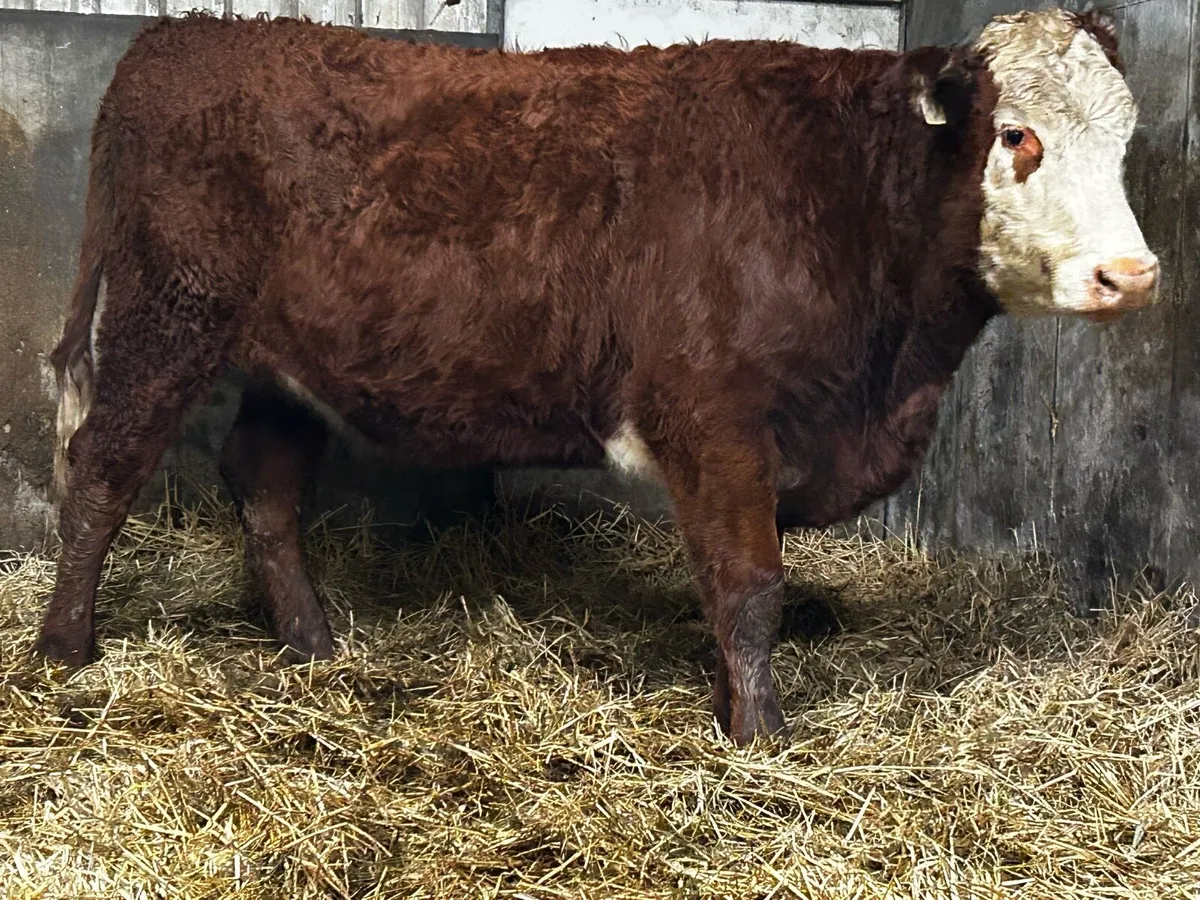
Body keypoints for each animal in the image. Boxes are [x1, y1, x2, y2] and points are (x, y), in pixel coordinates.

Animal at [34, 9, 1158, 745]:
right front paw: (763, 735)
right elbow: (749, 584)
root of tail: (180, 35)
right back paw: (64, 647)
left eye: (1126, 142)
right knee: (101, 468)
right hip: (166, 316)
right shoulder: (712, 413)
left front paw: (733, 708)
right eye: (1016, 134)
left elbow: (737, 588)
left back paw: (313, 645)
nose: (1132, 274)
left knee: (264, 486)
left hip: (284, 361)